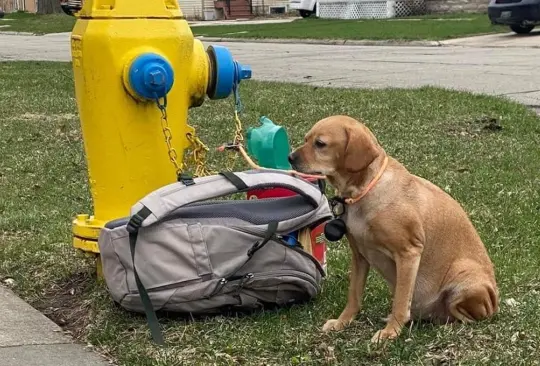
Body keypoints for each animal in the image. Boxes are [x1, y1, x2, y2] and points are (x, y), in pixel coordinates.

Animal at [288, 116, 500, 344]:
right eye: (306, 139)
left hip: (464, 277)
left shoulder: (409, 253)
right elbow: (354, 295)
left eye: (320, 144)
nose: (290, 157)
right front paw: (342, 322)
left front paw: (391, 332)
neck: (364, 191)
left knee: (466, 316)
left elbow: (400, 301)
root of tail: (494, 301)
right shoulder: (359, 256)